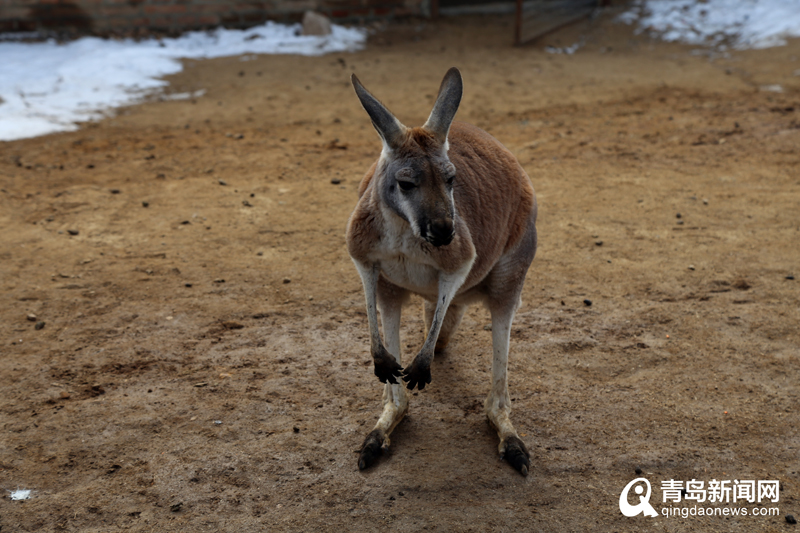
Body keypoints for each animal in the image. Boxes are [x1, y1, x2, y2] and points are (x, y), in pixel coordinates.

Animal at [346, 68, 538, 475]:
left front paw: (421, 365)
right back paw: (377, 434)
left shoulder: (461, 257)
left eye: (451, 180)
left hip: (512, 266)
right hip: (393, 293)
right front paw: (383, 360)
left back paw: (511, 442)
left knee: (496, 388)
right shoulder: (361, 251)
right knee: (396, 384)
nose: (444, 232)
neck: (405, 230)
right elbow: (367, 290)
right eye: (406, 184)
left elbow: (455, 273)